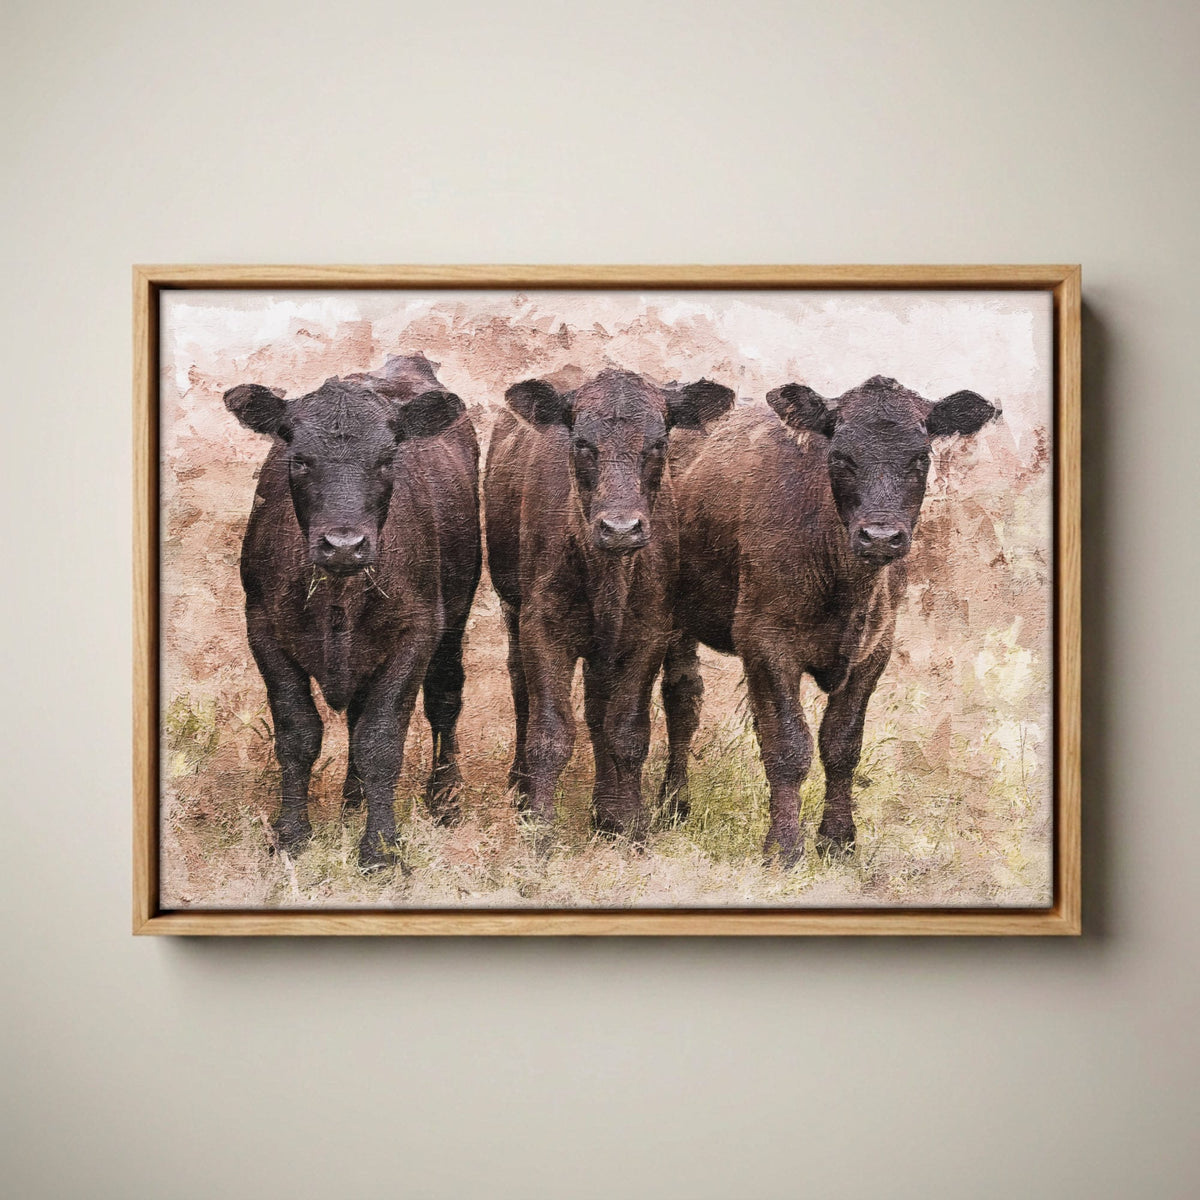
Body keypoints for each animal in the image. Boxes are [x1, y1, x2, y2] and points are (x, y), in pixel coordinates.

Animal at [223, 353, 481, 870]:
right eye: (299, 458)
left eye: (386, 459)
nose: (344, 544)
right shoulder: (262, 629)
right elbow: (298, 734)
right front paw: (290, 836)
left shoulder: (417, 632)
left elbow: (380, 741)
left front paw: (380, 848)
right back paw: (352, 801)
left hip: (455, 619)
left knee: (444, 700)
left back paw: (444, 800)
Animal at [485, 369, 735, 840]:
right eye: (582, 442)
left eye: (659, 442)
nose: (620, 528)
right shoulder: (541, 627)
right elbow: (550, 733)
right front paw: (538, 826)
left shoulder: (650, 632)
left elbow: (627, 731)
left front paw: (629, 821)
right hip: (513, 608)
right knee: (521, 687)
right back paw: (520, 785)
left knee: (672, 698)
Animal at [660, 374, 999, 864]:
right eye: (840, 456)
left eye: (920, 457)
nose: (881, 536)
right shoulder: (764, 642)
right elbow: (788, 745)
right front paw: (783, 847)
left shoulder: (875, 649)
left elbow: (841, 745)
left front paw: (838, 839)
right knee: (682, 702)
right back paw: (673, 805)